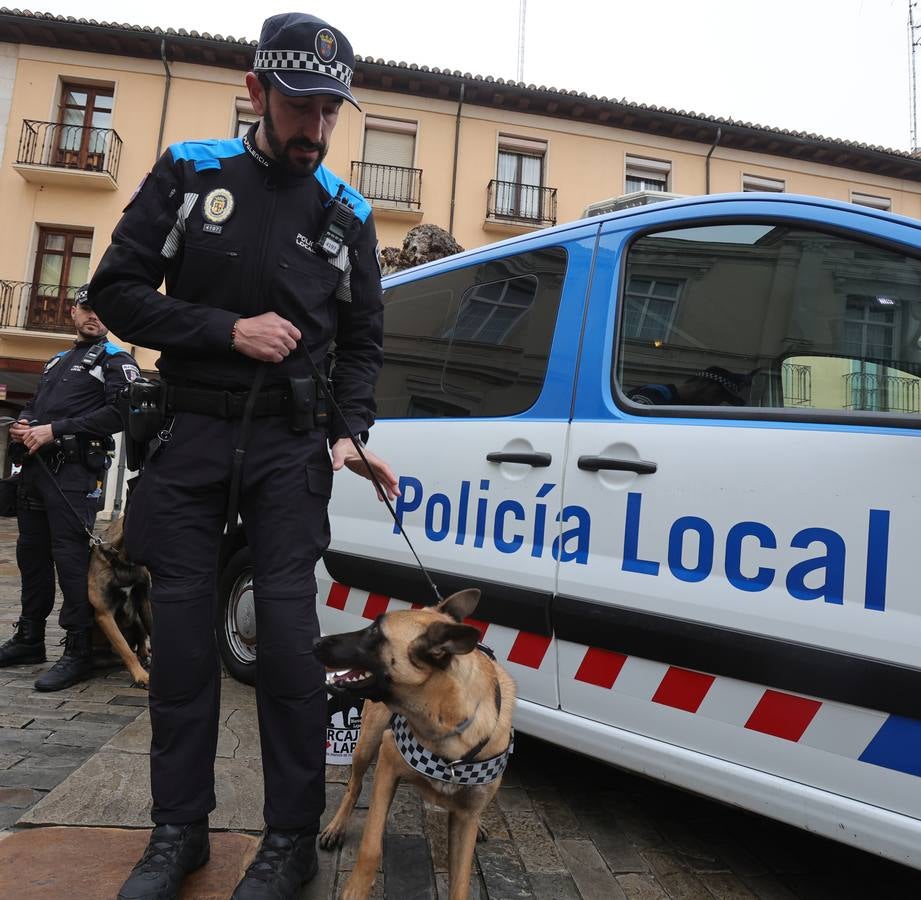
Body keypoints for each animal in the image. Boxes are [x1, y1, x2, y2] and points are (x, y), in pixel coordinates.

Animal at [87, 516, 152, 684]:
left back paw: (145, 655)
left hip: (137, 618)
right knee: (127, 652)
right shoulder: (105, 614)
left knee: (140, 642)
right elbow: (125, 649)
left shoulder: (145, 601)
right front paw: (141, 676)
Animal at [314, 592, 516, 900]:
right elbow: (370, 846)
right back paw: (336, 826)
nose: (315, 642)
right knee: (354, 786)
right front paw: (356, 889)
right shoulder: (387, 763)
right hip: (367, 743)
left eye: (374, 632)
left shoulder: (465, 820)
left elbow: (461, 882)